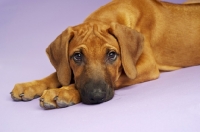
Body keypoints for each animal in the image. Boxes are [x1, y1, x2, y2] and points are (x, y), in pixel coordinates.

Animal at [10, 0, 200, 109]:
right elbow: (58, 74)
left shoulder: (146, 65)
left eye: (112, 55)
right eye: (77, 56)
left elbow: (118, 76)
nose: (96, 96)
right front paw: (29, 86)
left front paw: (64, 92)